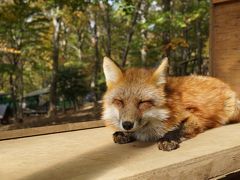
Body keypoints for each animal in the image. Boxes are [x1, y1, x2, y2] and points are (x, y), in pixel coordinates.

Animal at [101, 56, 240, 150]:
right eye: (119, 101)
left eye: (143, 102)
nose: (127, 125)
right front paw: (124, 133)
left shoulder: (195, 118)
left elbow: (178, 129)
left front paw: (167, 138)